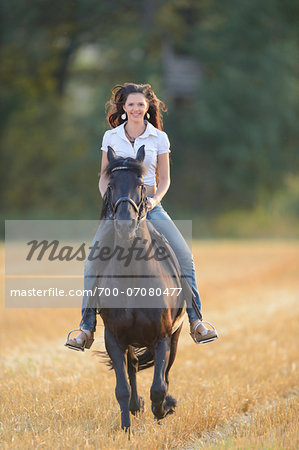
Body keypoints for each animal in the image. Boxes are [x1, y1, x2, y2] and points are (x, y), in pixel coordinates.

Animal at [92, 147, 193, 432]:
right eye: (110, 185)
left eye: (140, 185)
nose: (125, 226)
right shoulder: (114, 339)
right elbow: (122, 389)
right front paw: (127, 428)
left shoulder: (163, 337)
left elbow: (159, 386)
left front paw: (163, 409)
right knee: (134, 365)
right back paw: (137, 407)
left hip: (176, 335)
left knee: (165, 373)